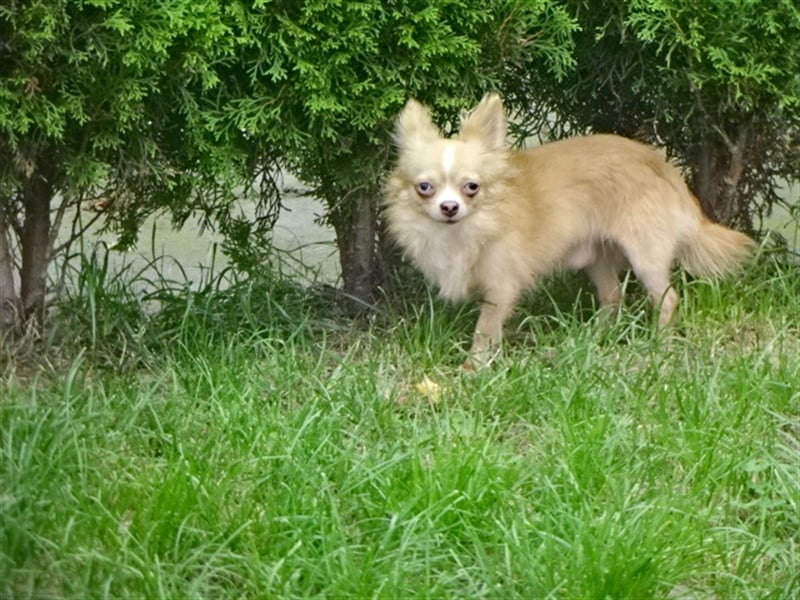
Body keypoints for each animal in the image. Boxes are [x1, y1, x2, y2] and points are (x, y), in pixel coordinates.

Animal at [384, 94, 752, 366]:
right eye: (425, 188)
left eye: (471, 187)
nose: (449, 208)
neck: (467, 230)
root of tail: (661, 166)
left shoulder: (501, 287)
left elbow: (484, 329)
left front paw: (473, 367)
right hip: (597, 256)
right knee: (612, 296)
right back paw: (594, 337)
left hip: (645, 255)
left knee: (667, 297)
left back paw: (658, 343)